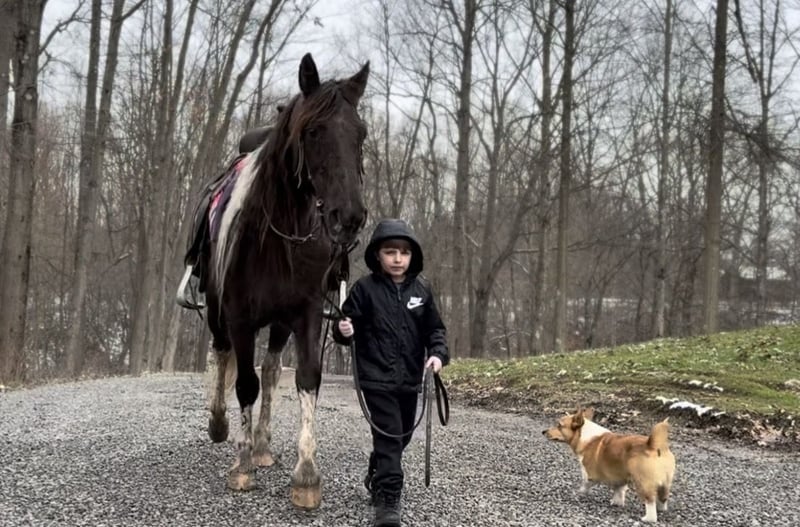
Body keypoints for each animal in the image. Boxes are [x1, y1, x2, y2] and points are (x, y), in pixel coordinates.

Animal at [204, 53, 369, 509]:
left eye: (361, 135)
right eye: (313, 131)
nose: (350, 217)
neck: (278, 237)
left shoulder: (305, 313)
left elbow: (305, 378)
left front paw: (306, 473)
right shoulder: (239, 318)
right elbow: (244, 384)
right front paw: (241, 466)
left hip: (278, 324)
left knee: (272, 368)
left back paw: (261, 446)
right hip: (216, 312)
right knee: (221, 355)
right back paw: (222, 426)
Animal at [543, 408, 675, 523]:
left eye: (559, 425)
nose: (543, 431)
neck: (584, 435)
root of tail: (653, 445)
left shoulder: (590, 475)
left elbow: (585, 485)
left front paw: (578, 493)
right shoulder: (619, 477)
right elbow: (619, 491)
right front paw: (617, 503)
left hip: (642, 483)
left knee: (650, 502)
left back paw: (647, 518)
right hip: (665, 483)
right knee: (663, 498)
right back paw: (661, 509)